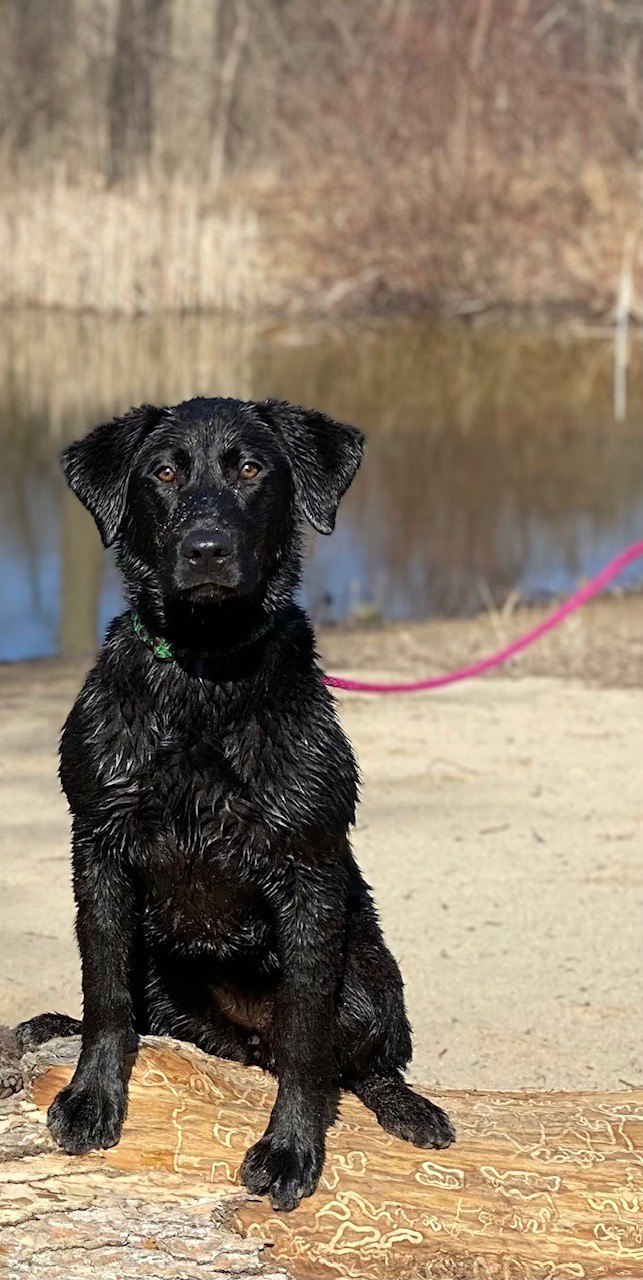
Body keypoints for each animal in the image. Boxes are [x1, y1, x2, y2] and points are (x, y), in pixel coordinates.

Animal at [18, 396, 450, 1208]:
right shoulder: (100, 849)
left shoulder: (309, 871)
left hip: (370, 976)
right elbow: (105, 997)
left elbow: (308, 1041)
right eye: (162, 473)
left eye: (250, 469)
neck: (204, 674)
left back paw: (409, 1109)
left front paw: (290, 1149)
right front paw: (90, 1098)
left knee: (365, 1062)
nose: (206, 549)